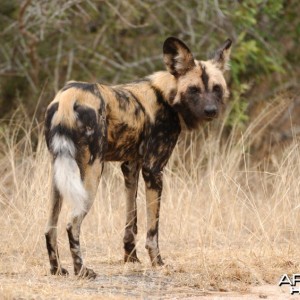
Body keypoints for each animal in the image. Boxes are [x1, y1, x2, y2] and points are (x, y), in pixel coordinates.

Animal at [44, 37, 232, 278]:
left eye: (216, 88)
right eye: (194, 89)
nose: (211, 110)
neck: (166, 96)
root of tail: (69, 96)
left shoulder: (130, 167)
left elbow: (130, 221)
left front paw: (130, 258)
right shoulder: (153, 170)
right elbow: (153, 228)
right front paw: (158, 262)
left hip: (59, 174)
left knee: (50, 227)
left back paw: (57, 269)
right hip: (92, 173)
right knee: (72, 223)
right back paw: (82, 270)